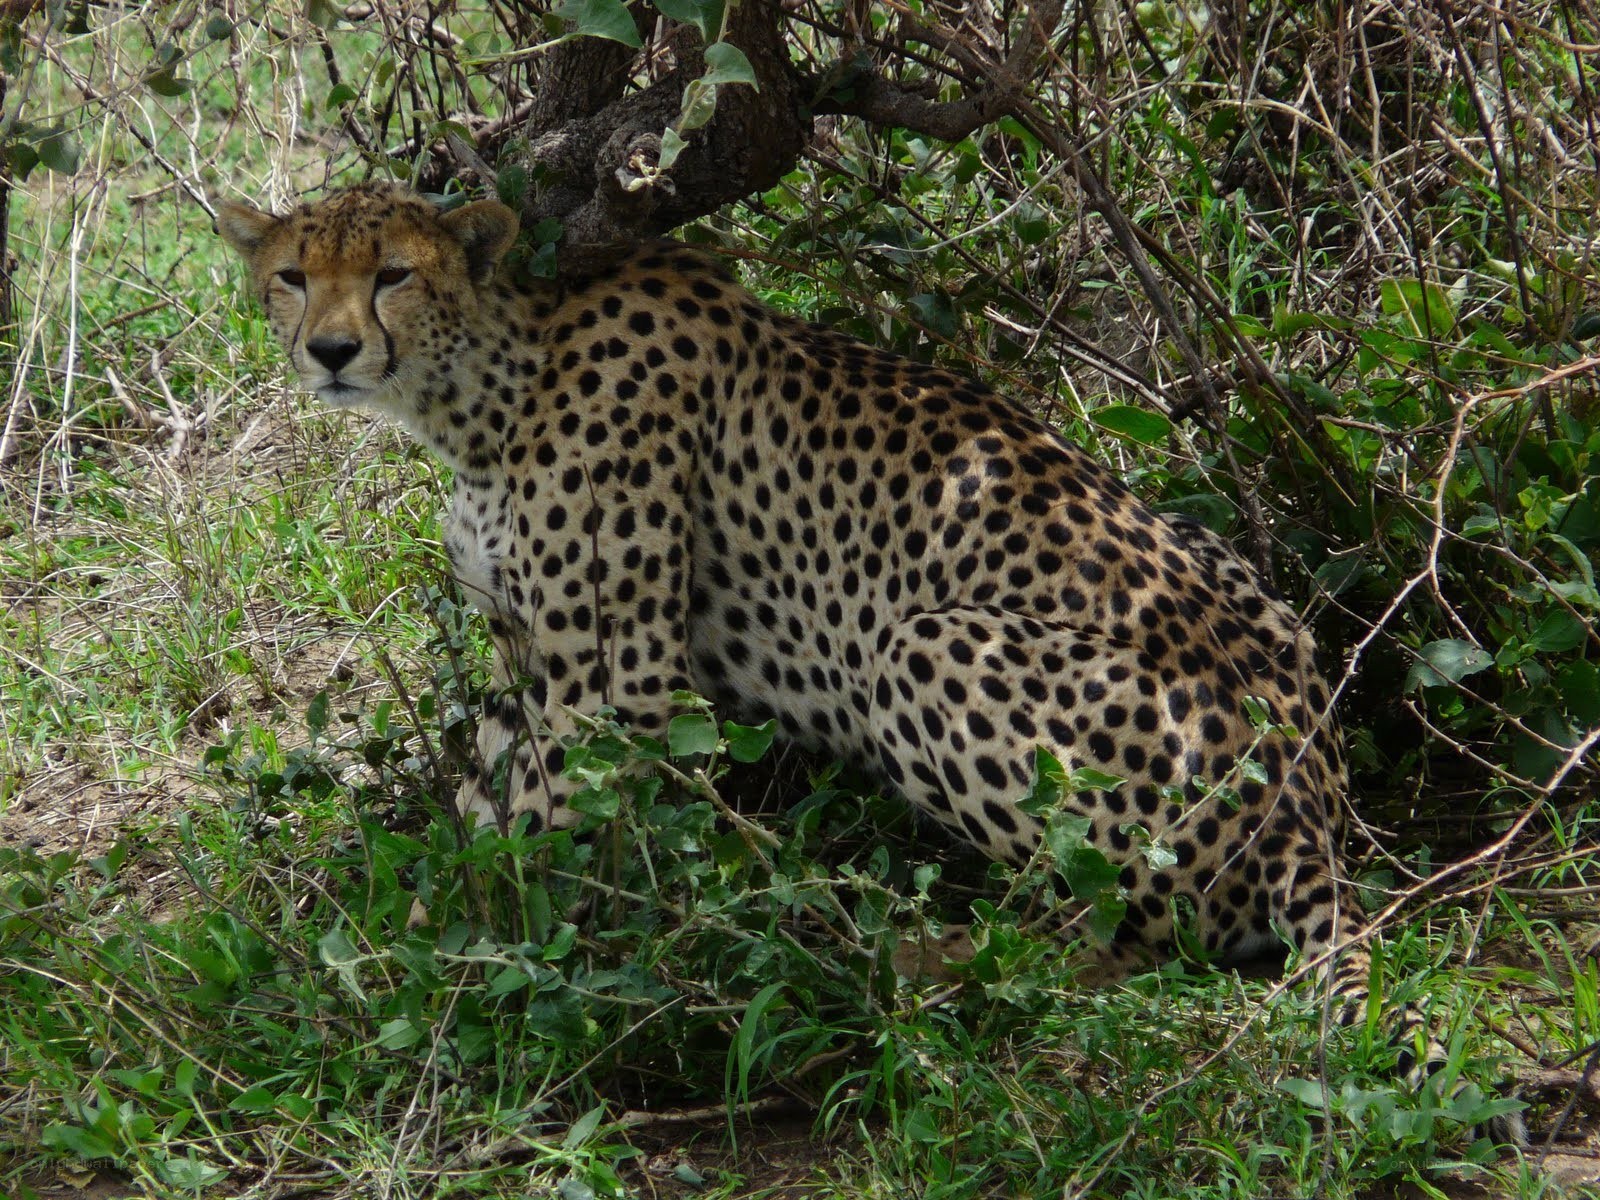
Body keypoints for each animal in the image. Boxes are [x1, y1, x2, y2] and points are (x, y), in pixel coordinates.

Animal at [216, 182, 1521, 1142]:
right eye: (292, 275)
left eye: (394, 272)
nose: (331, 349)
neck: (489, 377)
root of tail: (1312, 786)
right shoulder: (530, 668)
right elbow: (476, 814)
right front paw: (375, 935)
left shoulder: (617, 689)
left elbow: (517, 863)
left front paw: (394, 979)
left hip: (921, 643)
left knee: (1129, 934)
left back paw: (903, 954)